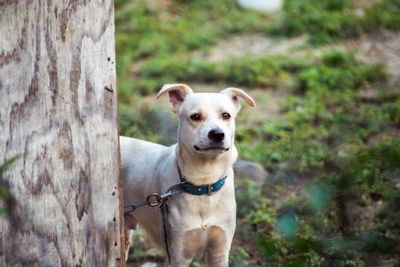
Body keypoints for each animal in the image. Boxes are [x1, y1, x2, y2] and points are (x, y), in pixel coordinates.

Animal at [120, 83, 255, 266]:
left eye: (226, 115)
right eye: (195, 116)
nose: (217, 134)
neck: (204, 182)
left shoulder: (219, 252)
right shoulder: (178, 255)